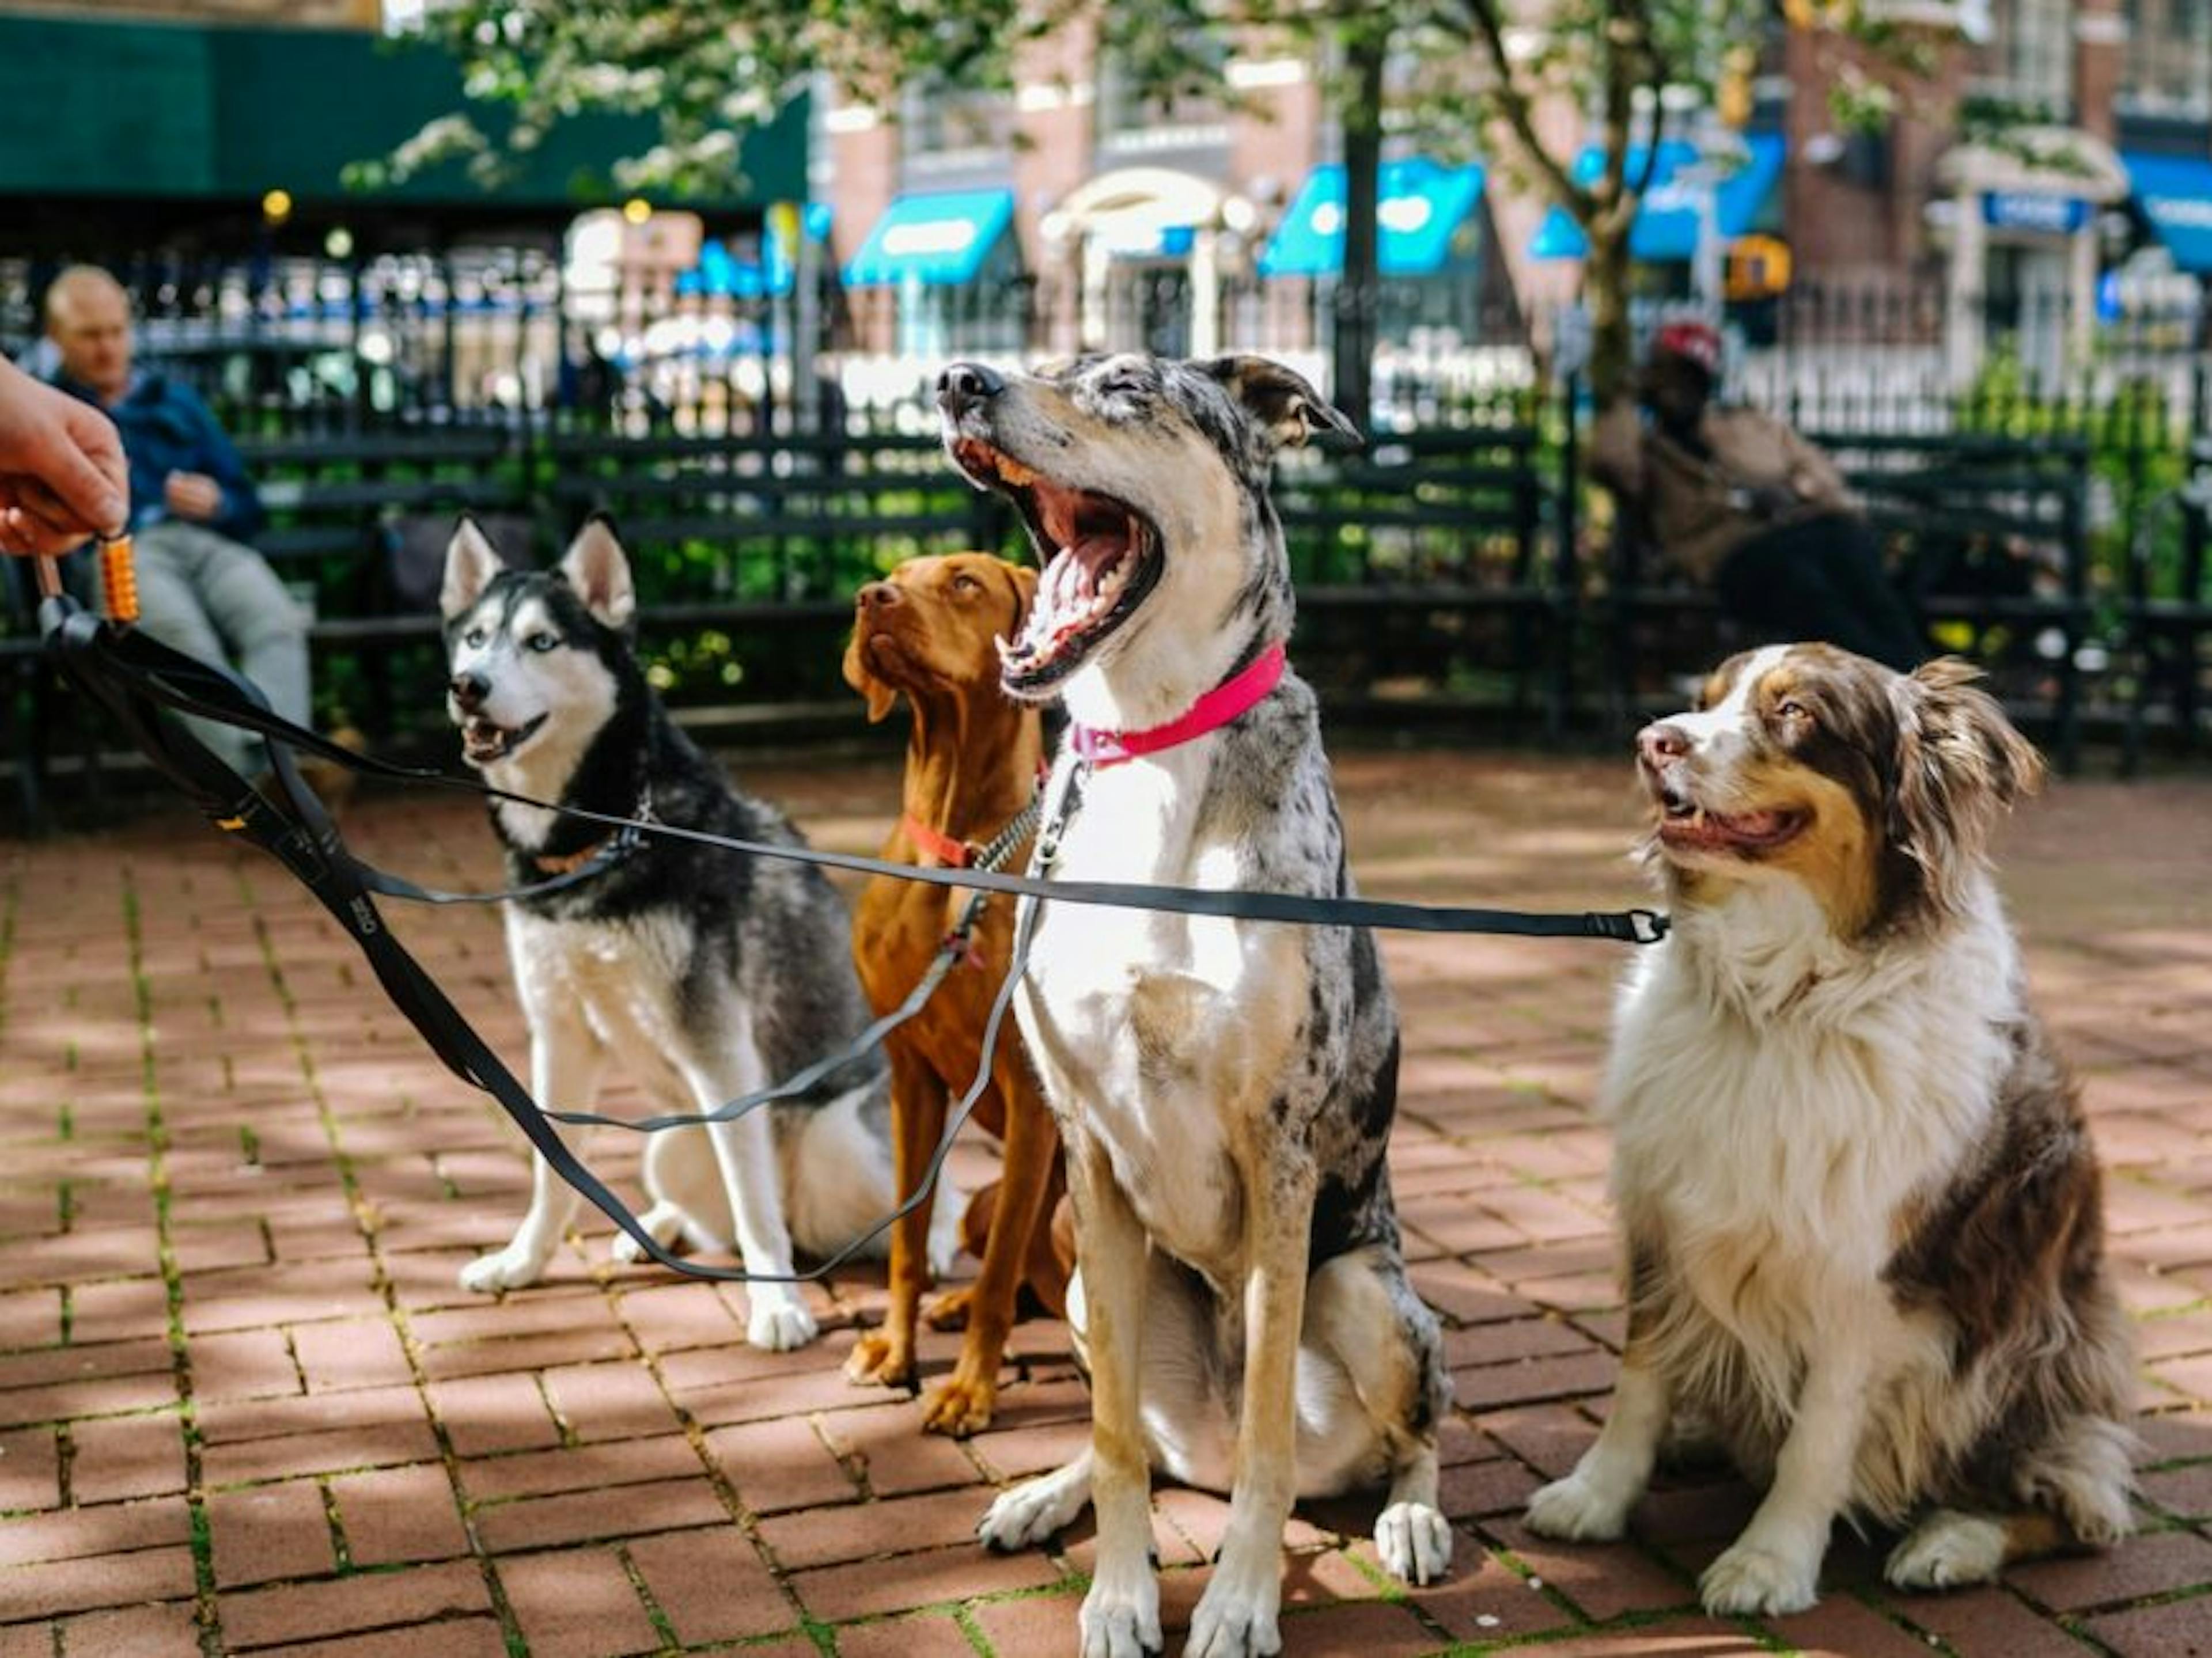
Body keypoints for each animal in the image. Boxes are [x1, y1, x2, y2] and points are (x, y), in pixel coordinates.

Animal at [440, 517, 951, 1353]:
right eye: (476, 637)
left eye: (543, 641)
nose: (468, 686)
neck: (604, 835)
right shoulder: (558, 1031)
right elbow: (553, 1171)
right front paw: (524, 1261)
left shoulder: (720, 1045)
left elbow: (752, 1197)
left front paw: (778, 1306)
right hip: (670, 1143)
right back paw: (659, 1227)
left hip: (835, 1140)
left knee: (916, 1197)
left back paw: (928, 1242)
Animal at [836, 552, 1070, 1432]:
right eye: (894, 574)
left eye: (964, 581)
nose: (871, 598)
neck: (958, 855)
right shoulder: (911, 1075)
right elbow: (907, 1243)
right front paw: (895, 1350)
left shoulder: (1032, 1093)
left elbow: (1002, 1276)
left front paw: (971, 1388)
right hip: (980, 1199)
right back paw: (951, 1305)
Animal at [933, 360, 1451, 1658]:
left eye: (1125, 385)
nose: (960, 379)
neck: (1151, 744)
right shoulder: (1087, 1146)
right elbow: (1118, 1433)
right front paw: (1121, 1596)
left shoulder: (1279, 1150)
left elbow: (1269, 1438)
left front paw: (1238, 1602)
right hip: (1079, 1272)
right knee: (1152, 1443)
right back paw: (1042, 1491)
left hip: (1365, 1292)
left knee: (1411, 1430)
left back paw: (1412, 1516)